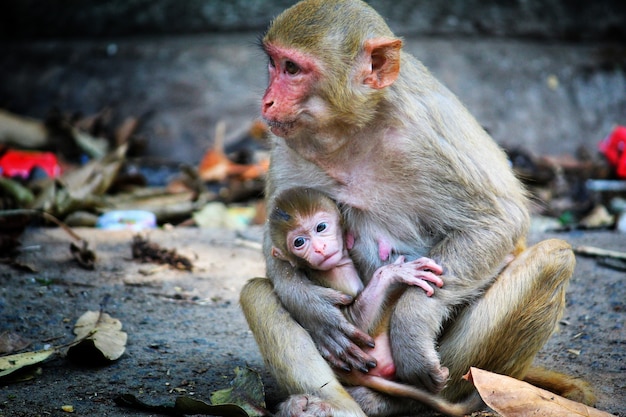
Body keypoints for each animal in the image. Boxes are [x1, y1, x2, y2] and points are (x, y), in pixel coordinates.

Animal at [268, 188, 458, 406]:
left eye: (320, 227)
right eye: (299, 242)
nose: (318, 248)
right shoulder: (339, 276)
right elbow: (358, 325)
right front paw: (393, 272)